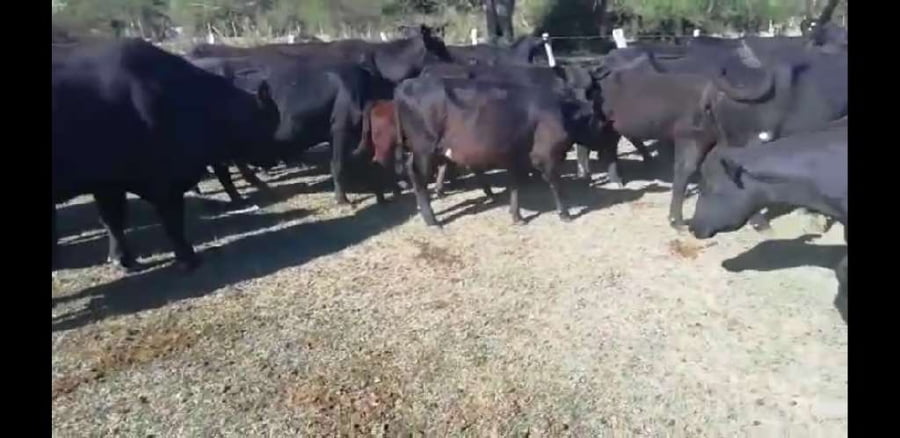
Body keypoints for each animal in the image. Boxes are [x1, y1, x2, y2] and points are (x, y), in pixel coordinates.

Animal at [52, 39, 280, 271]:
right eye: (266, 122)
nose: (274, 158)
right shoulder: (165, 181)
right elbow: (173, 220)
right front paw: (187, 257)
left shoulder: (108, 184)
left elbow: (113, 220)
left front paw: (122, 259)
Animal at [394, 76, 596, 227]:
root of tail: (406, 84)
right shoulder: (545, 155)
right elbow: (556, 184)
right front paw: (565, 214)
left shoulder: (516, 156)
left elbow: (515, 185)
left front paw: (516, 216)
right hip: (424, 148)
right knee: (418, 175)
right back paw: (431, 220)